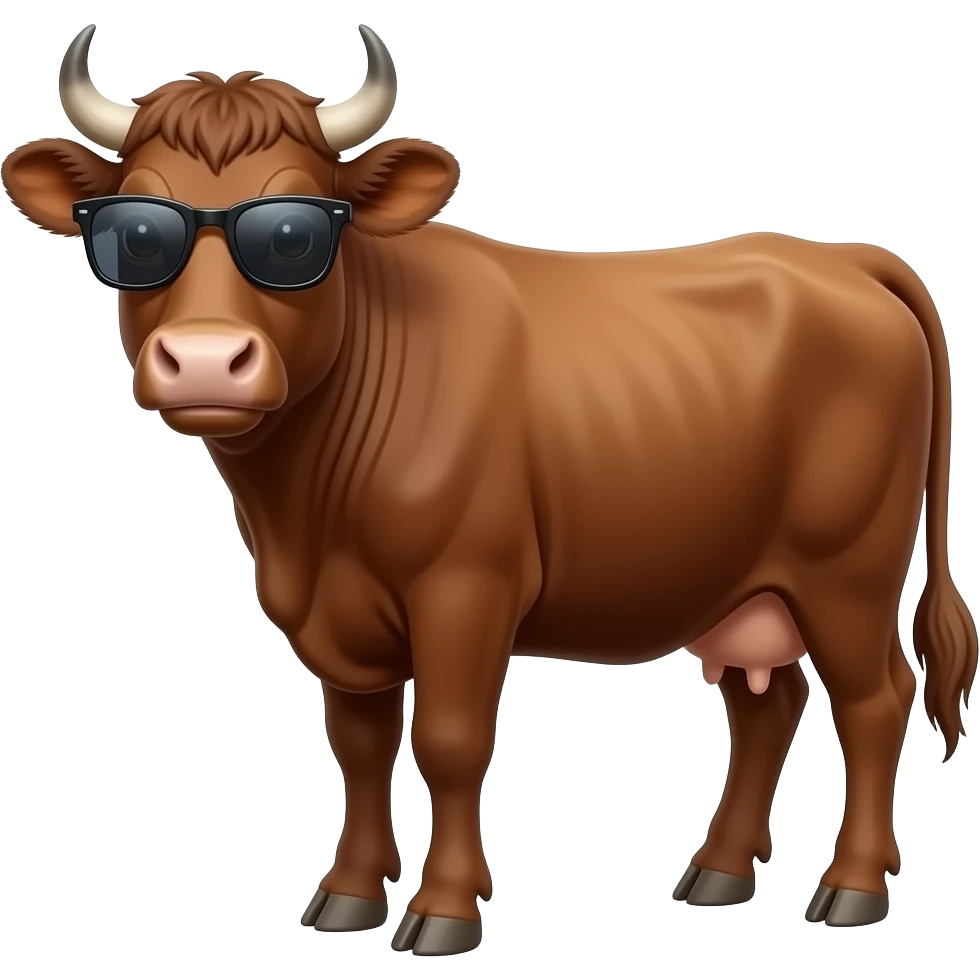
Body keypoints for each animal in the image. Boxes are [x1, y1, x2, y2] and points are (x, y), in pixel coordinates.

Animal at [3, 22, 976, 956]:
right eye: (137, 236)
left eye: (292, 237)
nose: (206, 360)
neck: (302, 519)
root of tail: (842, 259)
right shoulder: (336, 615)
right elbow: (359, 746)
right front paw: (348, 896)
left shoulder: (465, 587)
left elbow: (449, 741)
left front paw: (443, 911)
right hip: (742, 583)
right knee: (767, 706)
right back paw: (718, 874)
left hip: (848, 572)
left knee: (875, 700)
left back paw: (852, 887)